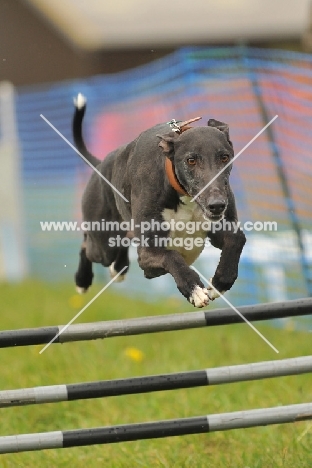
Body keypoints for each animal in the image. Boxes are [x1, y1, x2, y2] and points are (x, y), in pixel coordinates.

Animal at [73, 93, 246, 308]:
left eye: (224, 157)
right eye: (191, 160)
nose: (217, 205)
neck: (182, 194)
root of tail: (100, 164)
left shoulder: (218, 229)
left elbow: (237, 238)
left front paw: (221, 282)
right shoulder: (148, 254)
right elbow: (171, 256)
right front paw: (194, 289)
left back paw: (118, 267)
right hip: (103, 244)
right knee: (87, 245)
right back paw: (82, 280)